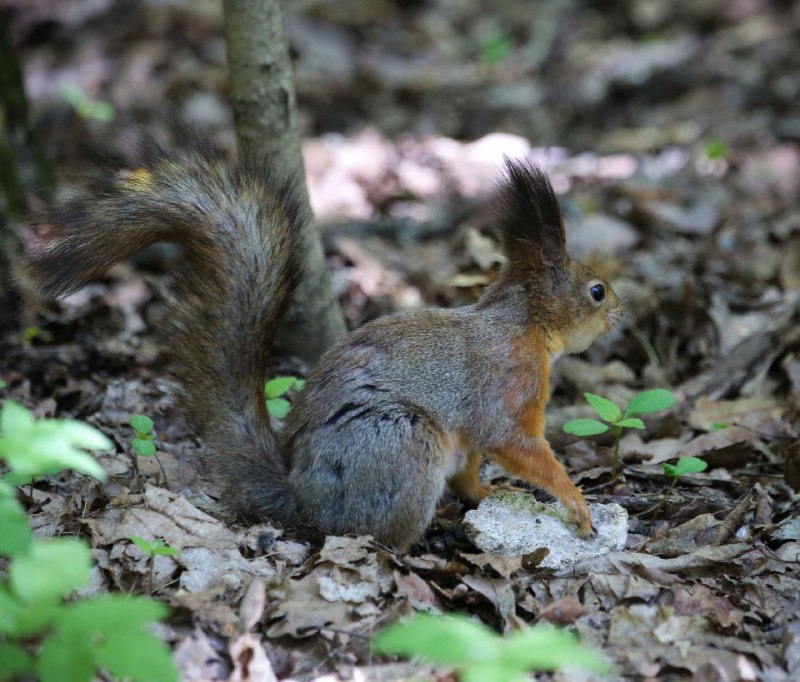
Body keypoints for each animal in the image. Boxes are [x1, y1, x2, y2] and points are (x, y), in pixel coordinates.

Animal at [17, 150, 620, 552]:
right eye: (596, 290)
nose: (620, 313)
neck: (525, 324)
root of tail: (303, 499)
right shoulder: (508, 386)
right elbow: (521, 446)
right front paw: (575, 503)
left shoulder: (471, 432)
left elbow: (472, 468)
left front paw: (487, 491)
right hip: (403, 444)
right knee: (378, 536)